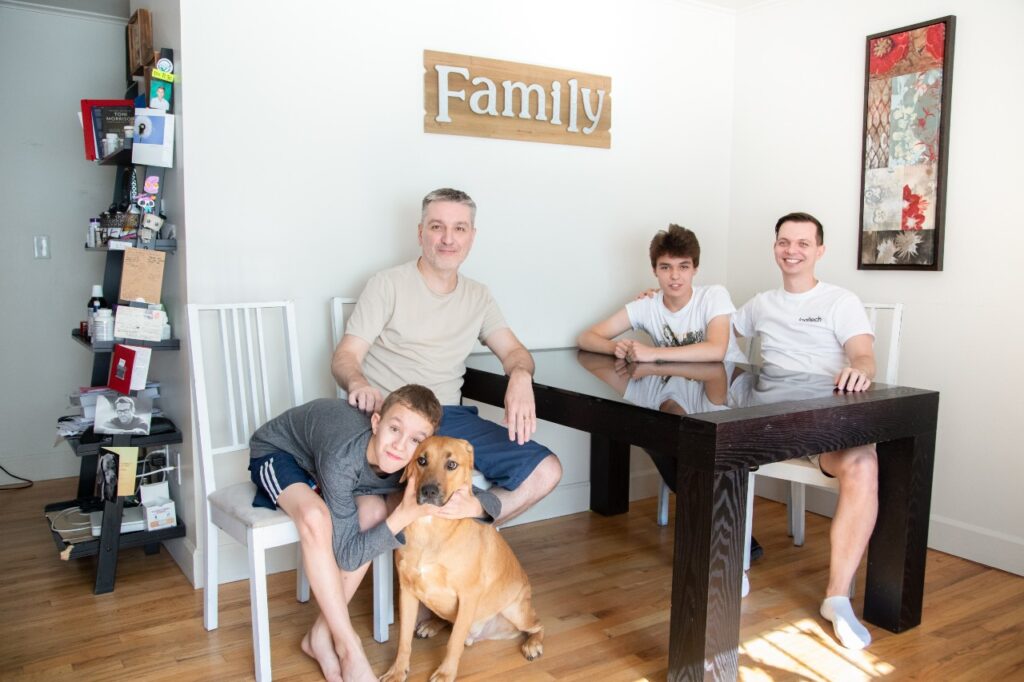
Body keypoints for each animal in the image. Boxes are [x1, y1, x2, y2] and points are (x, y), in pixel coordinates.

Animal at [380, 436, 544, 679]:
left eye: (451, 465)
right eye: (421, 460)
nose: (428, 491)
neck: (431, 527)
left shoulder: (468, 595)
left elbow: (454, 642)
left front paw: (445, 674)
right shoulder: (407, 591)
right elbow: (403, 641)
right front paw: (397, 671)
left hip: (516, 611)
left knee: (537, 624)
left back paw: (533, 644)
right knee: (448, 621)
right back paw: (432, 625)